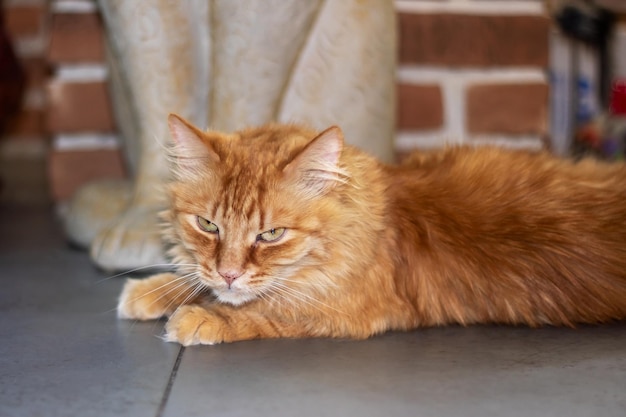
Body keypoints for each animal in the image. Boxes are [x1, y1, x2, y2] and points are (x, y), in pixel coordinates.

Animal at [117, 114, 624, 344]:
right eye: (208, 225)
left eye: (271, 235)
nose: (229, 273)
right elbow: (194, 280)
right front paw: (154, 290)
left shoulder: (351, 311)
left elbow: (269, 310)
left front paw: (202, 316)